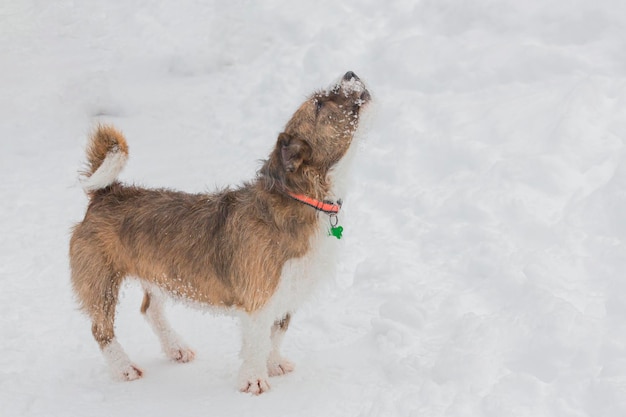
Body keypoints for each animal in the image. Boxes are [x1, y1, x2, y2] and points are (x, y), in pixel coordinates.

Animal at [70, 71, 368, 394]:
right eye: (319, 104)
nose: (350, 73)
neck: (303, 199)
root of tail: (107, 192)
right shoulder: (259, 297)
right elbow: (257, 340)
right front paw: (254, 380)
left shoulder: (287, 293)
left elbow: (276, 334)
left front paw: (273, 363)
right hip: (101, 283)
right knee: (101, 330)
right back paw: (124, 368)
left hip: (158, 275)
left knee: (150, 310)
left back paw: (176, 347)